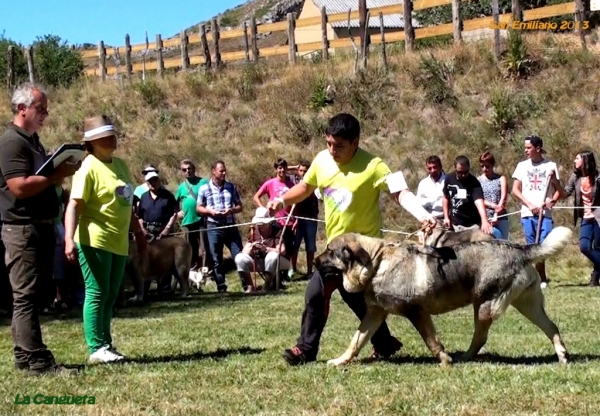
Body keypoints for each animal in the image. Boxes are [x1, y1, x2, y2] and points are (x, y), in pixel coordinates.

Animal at [314, 228, 572, 368]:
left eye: (329, 251)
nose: (315, 261)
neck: (376, 263)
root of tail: (521, 249)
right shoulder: (374, 315)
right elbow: (355, 342)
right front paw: (340, 361)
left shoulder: (417, 313)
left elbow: (432, 342)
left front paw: (445, 360)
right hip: (527, 306)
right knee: (552, 327)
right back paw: (562, 356)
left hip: (484, 306)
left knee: (480, 337)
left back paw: (464, 357)